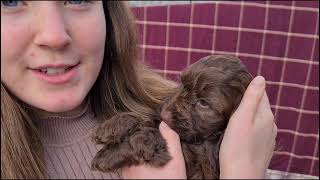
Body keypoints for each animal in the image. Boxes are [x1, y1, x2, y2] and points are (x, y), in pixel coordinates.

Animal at [91, 54, 254, 179]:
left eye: (203, 103)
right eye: (182, 84)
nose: (165, 114)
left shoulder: (198, 163)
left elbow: (147, 135)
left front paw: (108, 155)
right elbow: (148, 119)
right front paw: (112, 127)